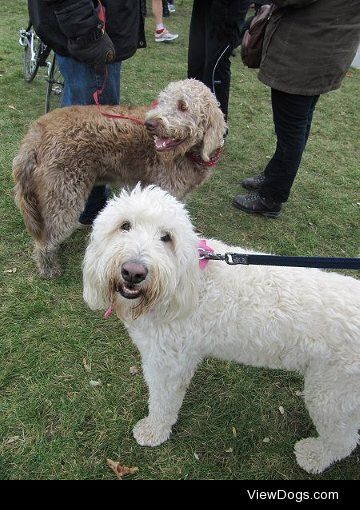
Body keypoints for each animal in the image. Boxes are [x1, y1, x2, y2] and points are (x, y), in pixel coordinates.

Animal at [83, 184, 360, 474]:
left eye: (166, 237)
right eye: (124, 226)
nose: (133, 272)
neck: (185, 280)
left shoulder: (168, 363)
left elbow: (162, 401)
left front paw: (153, 431)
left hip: (331, 394)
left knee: (343, 440)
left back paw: (314, 456)